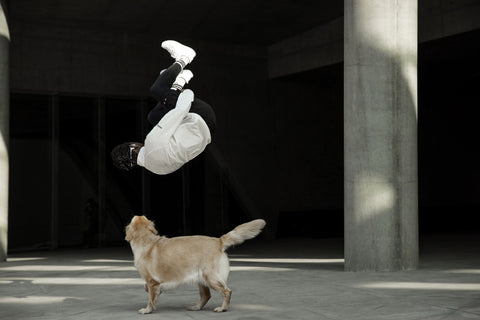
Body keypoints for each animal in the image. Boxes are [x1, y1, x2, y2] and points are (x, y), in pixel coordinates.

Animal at [124, 216, 266, 314]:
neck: (146, 240)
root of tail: (218, 241)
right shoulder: (153, 283)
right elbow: (150, 291)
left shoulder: (152, 281)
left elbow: (150, 298)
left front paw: (147, 310)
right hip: (201, 279)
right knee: (206, 296)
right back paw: (196, 307)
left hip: (210, 277)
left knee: (227, 291)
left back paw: (222, 308)